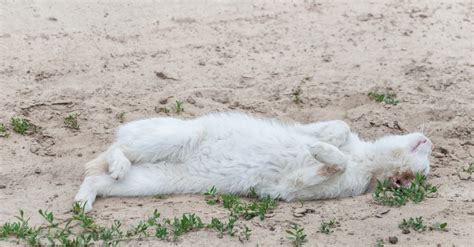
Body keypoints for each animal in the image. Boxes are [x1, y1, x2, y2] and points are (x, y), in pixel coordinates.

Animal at [75, 112, 434, 212]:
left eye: (425, 170)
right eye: (427, 159)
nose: (430, 142)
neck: (368, 162)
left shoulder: (290, 189)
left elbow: (333, 166)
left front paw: (322, 154)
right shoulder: (332, 133)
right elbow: (336, 129)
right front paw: (320, 144)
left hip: (151, 181)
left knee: (97, 176)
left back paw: (83, 202)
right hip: (172, 139)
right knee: (116, 149)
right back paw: (115, 165)